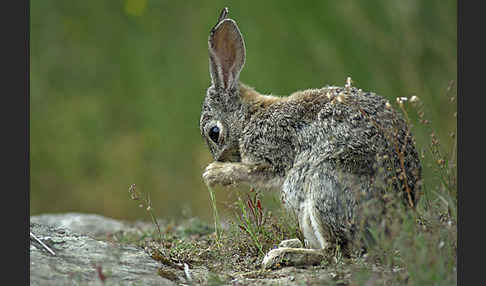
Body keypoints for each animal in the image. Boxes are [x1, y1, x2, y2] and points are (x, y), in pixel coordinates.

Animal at [199, 7, 420, 270]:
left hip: (324, 186)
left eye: (214, 133)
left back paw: (282, 255)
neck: (249, 117)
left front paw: (214, 174)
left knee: (335, 252)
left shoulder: (273, 151)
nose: (221, 159)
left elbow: (255, 171)